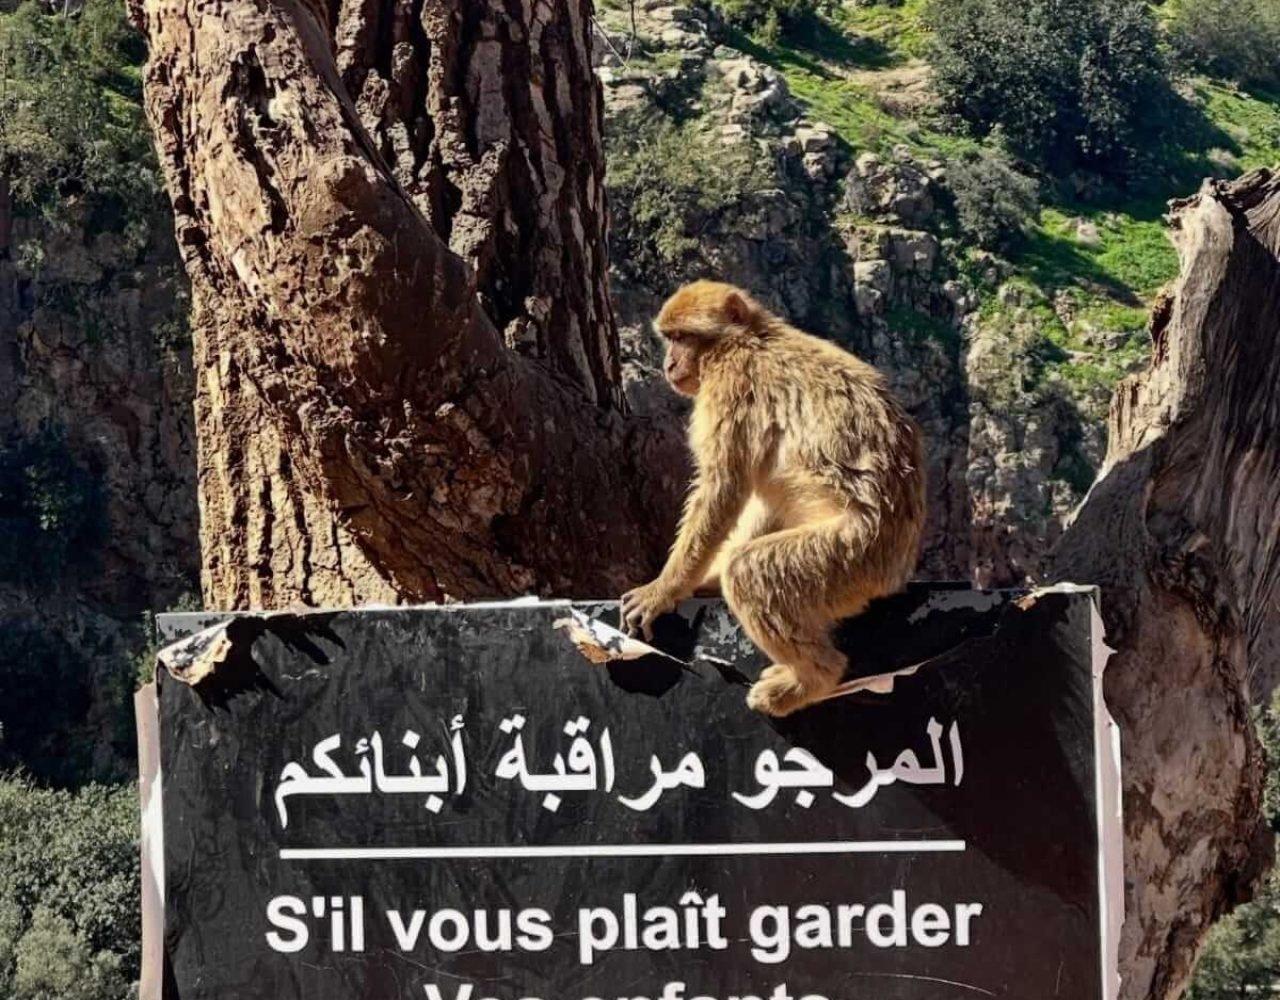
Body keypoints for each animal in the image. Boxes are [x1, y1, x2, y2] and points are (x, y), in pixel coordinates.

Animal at [621, 281, 926, 718]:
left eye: (681, 338)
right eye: (669, 338)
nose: (669, 363)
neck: (748, 339)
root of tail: (899, 565)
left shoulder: (730, 385)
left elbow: (723, 488)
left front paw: (665, 588)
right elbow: (761, 497)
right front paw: (705, 579)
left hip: (852, 556)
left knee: (751, 571)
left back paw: (812, 679)